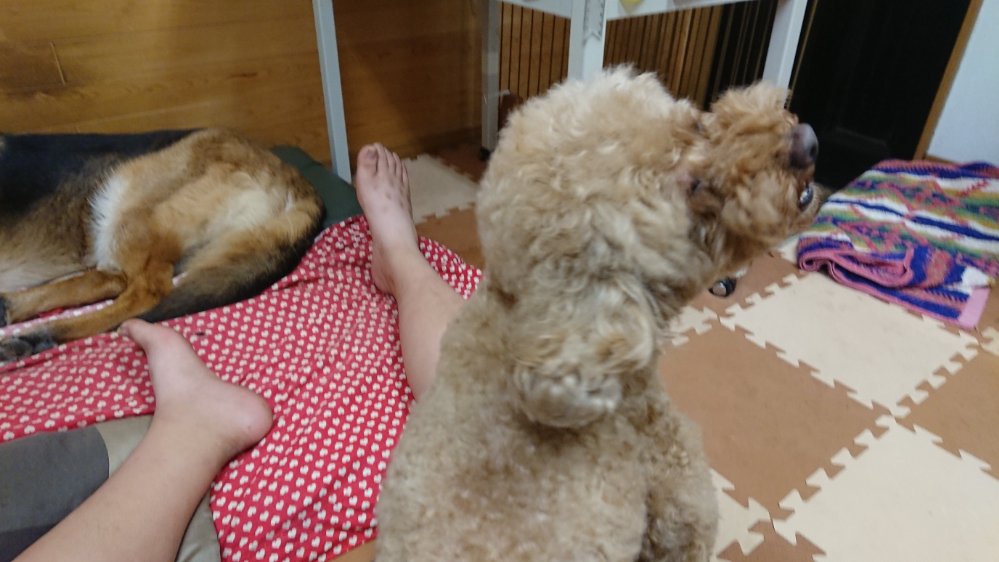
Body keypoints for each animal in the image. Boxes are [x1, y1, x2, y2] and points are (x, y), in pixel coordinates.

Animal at [0, 129, 324, 362]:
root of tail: (295, 181)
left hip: (128, 206)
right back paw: (12, 310)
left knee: (144, 292)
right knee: (111, 280)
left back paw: (35, 334)